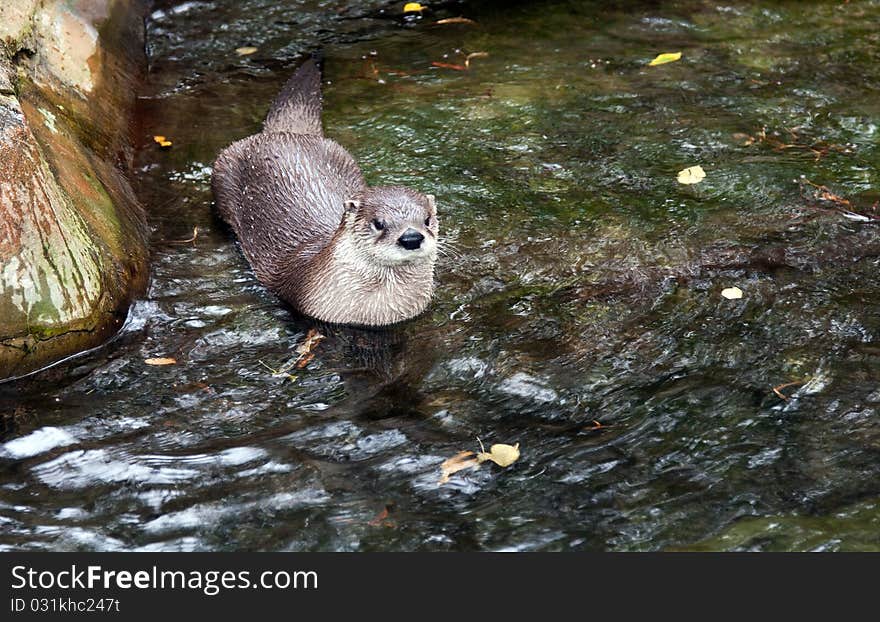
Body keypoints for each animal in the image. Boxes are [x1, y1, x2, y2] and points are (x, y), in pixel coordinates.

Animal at [210, 59, 436, 326]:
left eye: (427, 220)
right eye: (379, 223)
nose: (411, 237)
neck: (375, 313)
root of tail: (286, 133)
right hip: (222, 171)